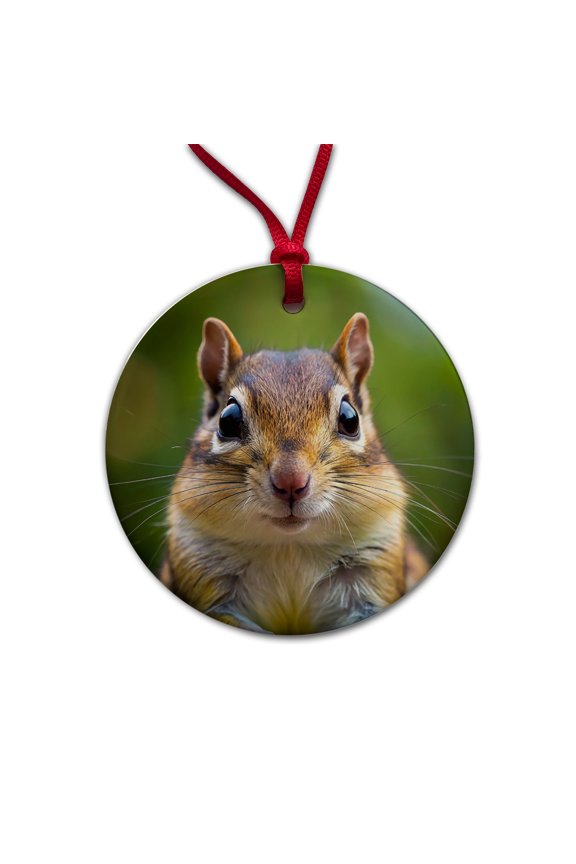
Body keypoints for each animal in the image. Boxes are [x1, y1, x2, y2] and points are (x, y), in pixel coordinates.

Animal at [160, 313, 428, 634]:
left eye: (350, 418)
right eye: (228, 420)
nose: (290, 481)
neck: (289, 546)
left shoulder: (374, 562)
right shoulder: (201, 566)